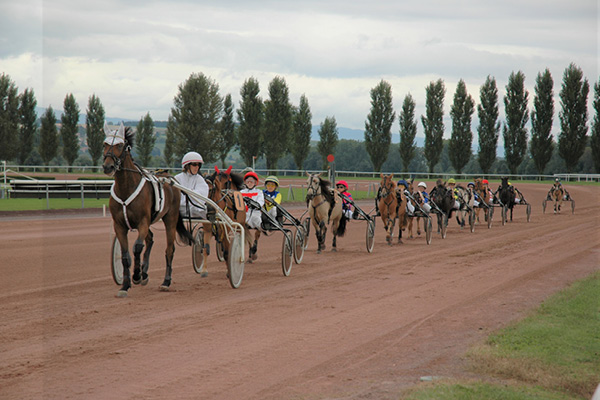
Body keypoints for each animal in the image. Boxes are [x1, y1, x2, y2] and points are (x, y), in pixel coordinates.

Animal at [103, 122, 192, 297]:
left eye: (119, 145)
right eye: (104, 144)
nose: (108, 166)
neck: (126, 189)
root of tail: (170, 178)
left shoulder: (143, 222)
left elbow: (137, 248)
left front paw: (136, 276)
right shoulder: (119, 226)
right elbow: (125, 256)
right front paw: (125, 285)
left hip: (170, 219)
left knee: (169, 249)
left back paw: (165, 282)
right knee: (150, 239)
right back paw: (145, 274)